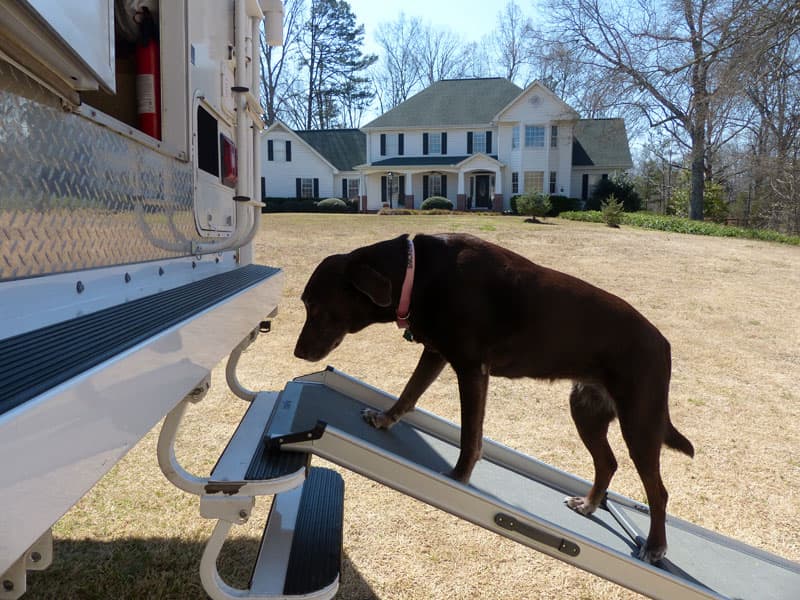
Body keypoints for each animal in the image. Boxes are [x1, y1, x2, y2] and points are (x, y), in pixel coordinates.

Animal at [294, 233, 692, 564]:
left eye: (315, 305)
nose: (296, 353)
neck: (417, 273)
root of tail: (664, 344)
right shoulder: (436, 353)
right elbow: (408, 394)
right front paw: (383, 418)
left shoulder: (472, 369)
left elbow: (470, 434)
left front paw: (458, 476)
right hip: (585, 409)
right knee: (607, 462)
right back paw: (590, 504)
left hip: (640, 421)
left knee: (658, 492)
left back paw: (655, 546)